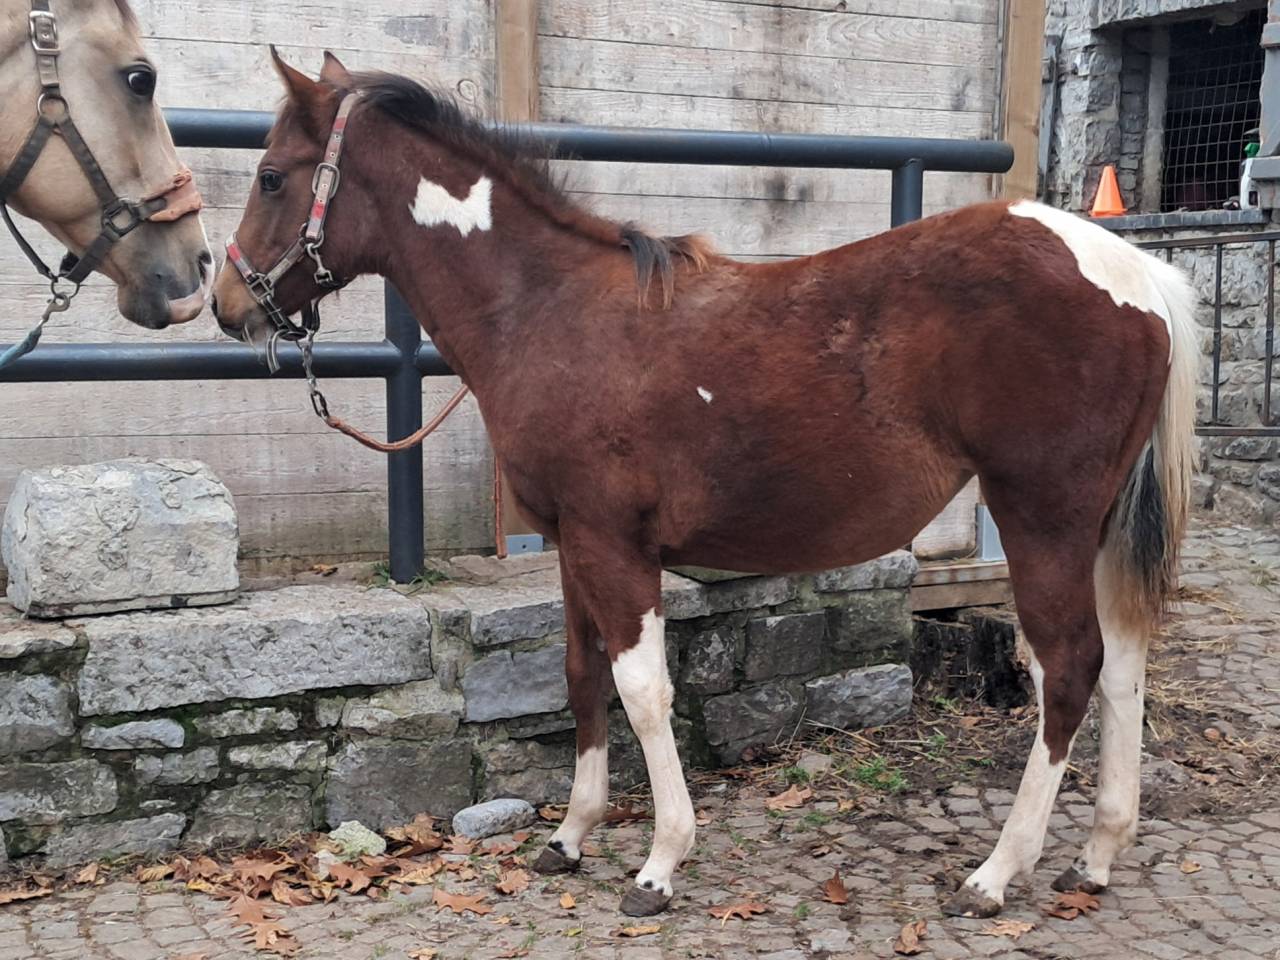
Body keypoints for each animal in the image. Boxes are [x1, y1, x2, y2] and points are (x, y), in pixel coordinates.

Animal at [211, 52, 1197, 919]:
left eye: (270, 176)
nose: (225, 303)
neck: (547, 310)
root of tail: (1135, 274)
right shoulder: (573, 541)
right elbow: (581, 675)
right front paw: (569, 836)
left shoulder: (615, 541)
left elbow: (643, 689)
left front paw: (658, 865)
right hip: (1095, 527)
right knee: (1124, 667)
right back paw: (1095, 857)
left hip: (1041, 518)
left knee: (1068, 669)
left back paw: (995, 875)